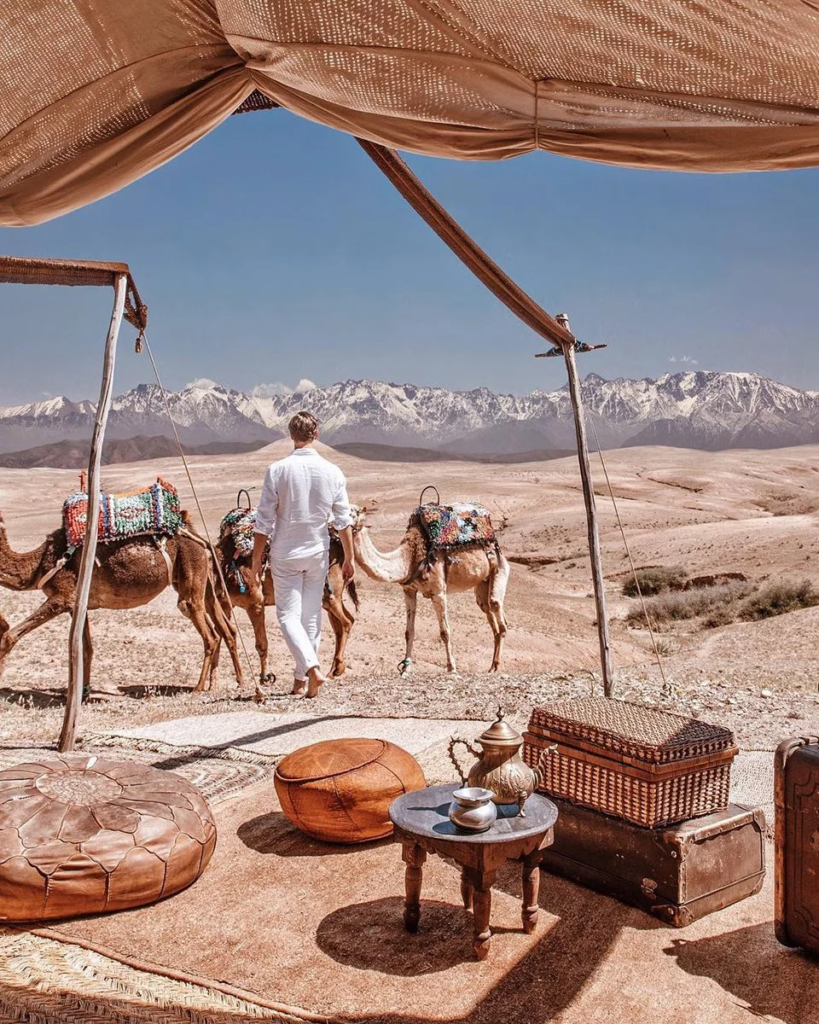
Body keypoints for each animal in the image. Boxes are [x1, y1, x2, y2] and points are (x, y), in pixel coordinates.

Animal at [0, 477, 246, 696]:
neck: (40, 563)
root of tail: (199, 538)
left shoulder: (63, 597)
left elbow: (9, 636)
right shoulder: (79, 605)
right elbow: (85, 649)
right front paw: (81, 693)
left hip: (191, 573)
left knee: (208, 632)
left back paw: (198, 688)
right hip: (200, 581)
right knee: (223, 629)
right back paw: (228, 682)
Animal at [216, 520, 356, 679]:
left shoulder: (255, 603)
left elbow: (261, 644)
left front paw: (265, 677)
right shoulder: (226, 604)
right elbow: (224, 635)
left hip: (332, 593)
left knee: (346, 622)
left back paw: (336, 668)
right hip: (327, 597)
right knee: (342, 624)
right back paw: (335, 669)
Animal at [354, 505, 507, 679]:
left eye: (353, 513)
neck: (411, 556)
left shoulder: (438, 592)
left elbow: (445, 632)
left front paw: (452, 668)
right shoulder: (408, 591)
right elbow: (409, 632)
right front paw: (405, 669)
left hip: (499, 567)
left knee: (497, 612)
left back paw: (497, 666)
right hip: (482, 583)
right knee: (488, 612)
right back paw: (492, 666)